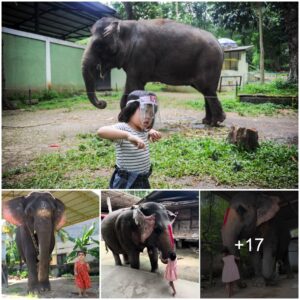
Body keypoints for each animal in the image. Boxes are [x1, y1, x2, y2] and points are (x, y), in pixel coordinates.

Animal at [82, 16, 225, 126]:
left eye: (98, 45)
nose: (103, 103)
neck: (124, 24)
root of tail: (219, 44)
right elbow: (130, 87)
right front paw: (124, 119)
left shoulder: (140, 56)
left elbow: (134, 86)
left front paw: (123, 118)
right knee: (206, 91)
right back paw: (207, 121)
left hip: (209, 62)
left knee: (207, 90)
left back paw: (215, 122)